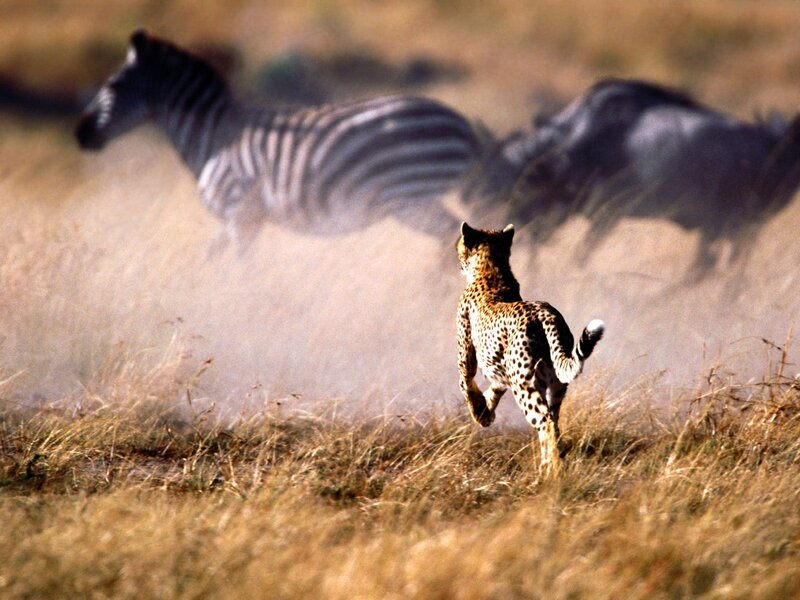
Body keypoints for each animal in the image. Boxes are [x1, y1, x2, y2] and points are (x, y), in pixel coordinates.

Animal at [456, 221, 605, 476]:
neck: (491, 269)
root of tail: (545, 312)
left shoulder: (467, 356)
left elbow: (467, 384)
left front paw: (479, 413)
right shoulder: (501, 371)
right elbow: (494, 389)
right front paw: (487, 412)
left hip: (525, 385)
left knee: (545, 422)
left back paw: (554, 472)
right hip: (555, 383)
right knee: (553, 420)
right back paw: (547, 466)